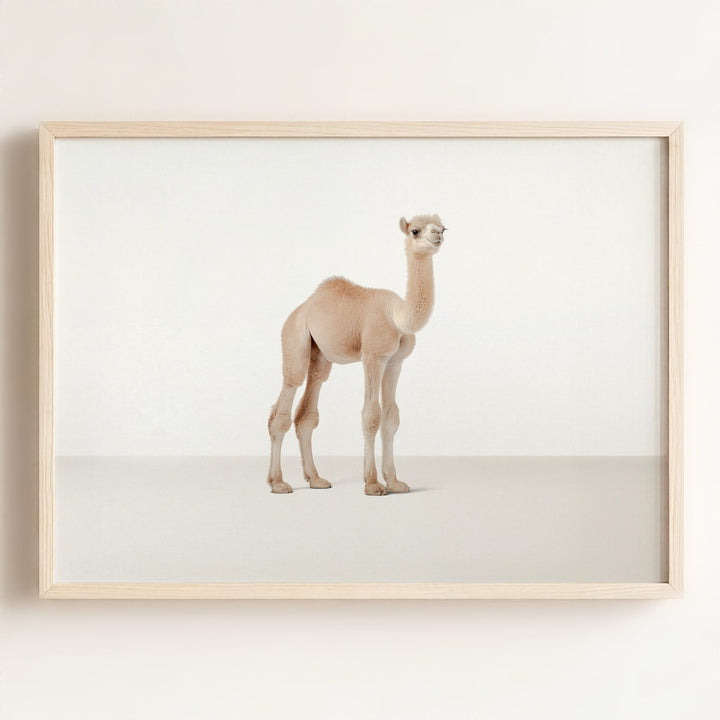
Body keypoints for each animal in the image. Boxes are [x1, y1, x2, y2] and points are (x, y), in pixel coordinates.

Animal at [267, 214, 445, 495]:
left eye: (444, 227)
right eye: (415, 230)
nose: (437, 234)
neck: (397, 316)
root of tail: (301, 309)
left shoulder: (395, 362)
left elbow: (391, 417)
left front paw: (395, 482)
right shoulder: (373, 356)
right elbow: (371, 415)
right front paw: (372, 483)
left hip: (320, 355)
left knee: (308, 409)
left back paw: (316, 479)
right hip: (294, 338)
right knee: (286, 398)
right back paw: (278, 482)